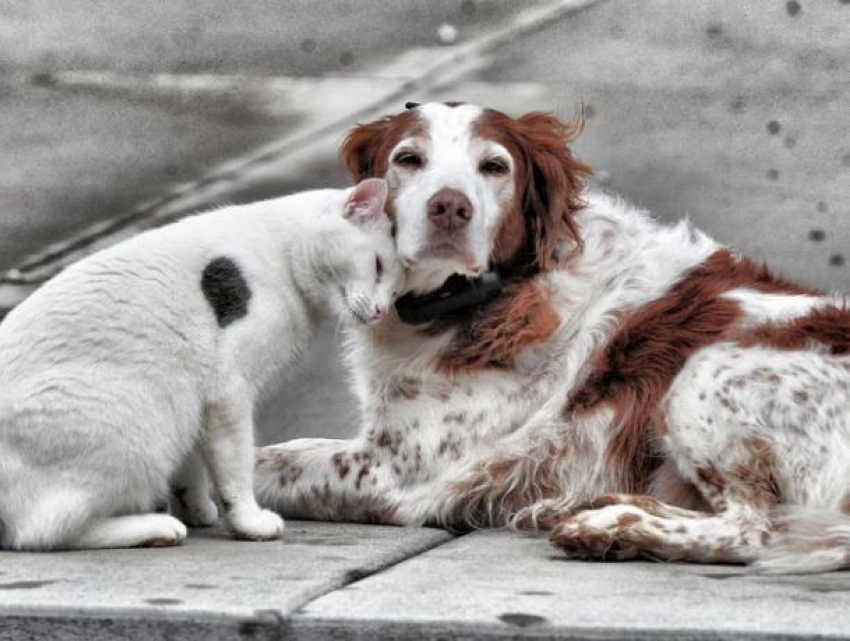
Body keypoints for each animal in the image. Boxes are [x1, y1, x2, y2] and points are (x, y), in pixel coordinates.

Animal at [0, 178, 402, 548]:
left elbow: (192, 463)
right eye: (378, 266)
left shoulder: (197, 397)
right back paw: (156, 527)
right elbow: (236, 466)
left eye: (395, 288)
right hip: (139, 422)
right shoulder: (228, 391)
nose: (382, 311)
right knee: (44, 531)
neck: (282, 252)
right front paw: (248, 522)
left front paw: (195, 507)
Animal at [255, 102, 848, 572]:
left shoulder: (399, 469)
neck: (486, 298)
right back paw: (605, 510)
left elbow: (270, 463)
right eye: (408, 159)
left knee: (756, 528)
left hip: (702, 374)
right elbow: (279, 451)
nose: (450, 207)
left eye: (494, 166)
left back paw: (610, 529)